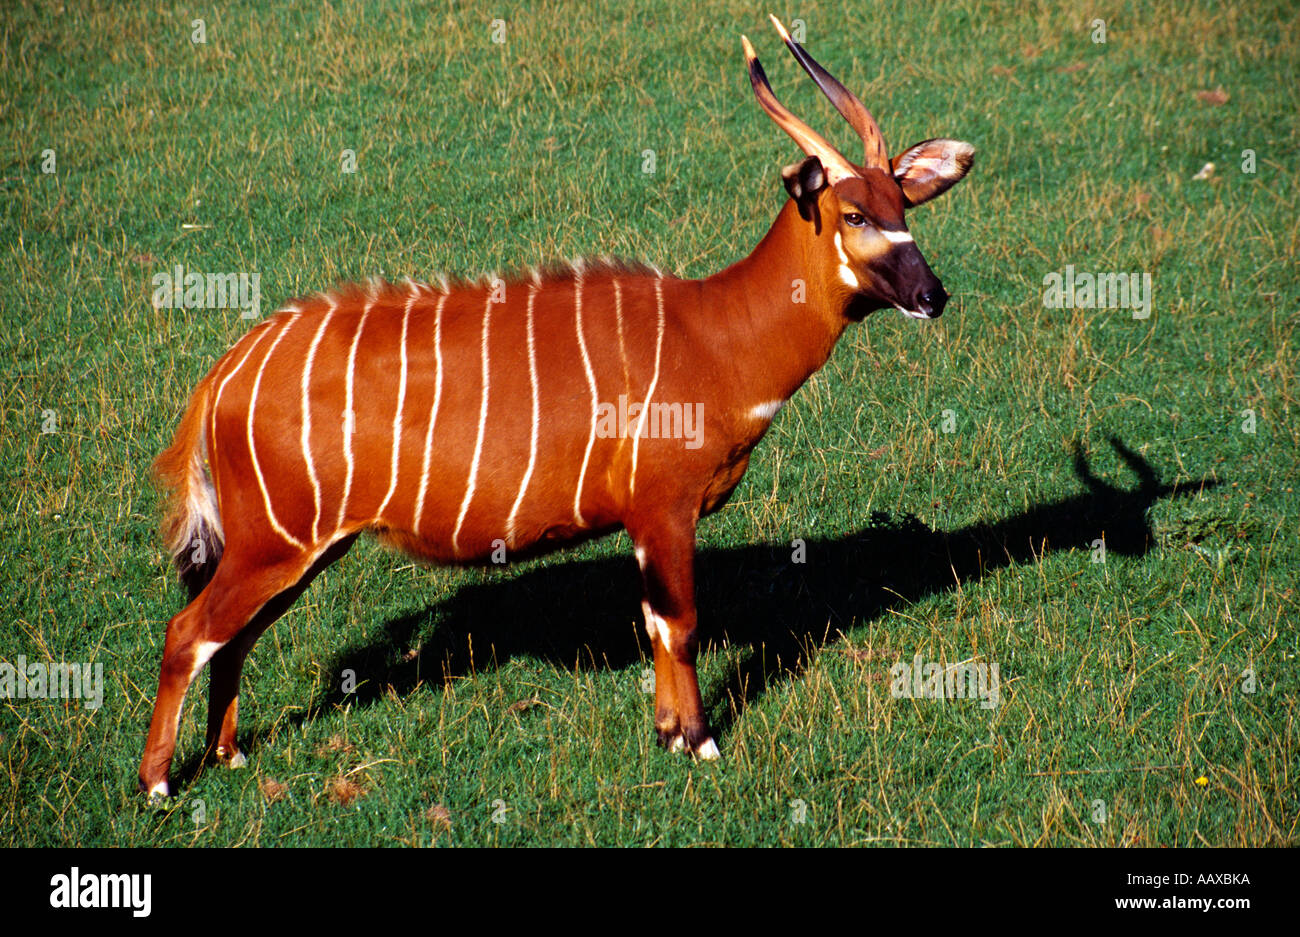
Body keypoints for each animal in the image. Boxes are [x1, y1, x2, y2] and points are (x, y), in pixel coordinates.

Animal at [142, 18, 977, 795]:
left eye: (903, 204)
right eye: (854, 215)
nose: (932, 295)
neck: (714, 331)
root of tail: (224, 374)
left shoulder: (647, 523)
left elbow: (654, 622)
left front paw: (667, 732)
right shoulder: (664, 507)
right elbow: (680, 623)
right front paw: (699, 740)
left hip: (298, 550)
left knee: (233, 636)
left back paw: (229, 753)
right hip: (274, 543)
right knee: (188, 631)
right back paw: (157, 782)